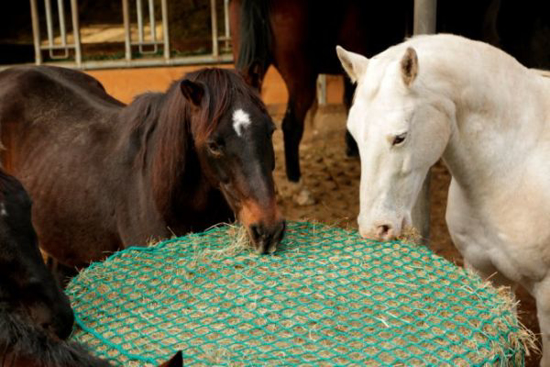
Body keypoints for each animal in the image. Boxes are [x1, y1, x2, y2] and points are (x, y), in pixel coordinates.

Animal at [338, 33, 550, 366]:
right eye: (354, 134)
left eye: (400, 137)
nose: (375, 228)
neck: (516, 164)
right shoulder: (485, 272)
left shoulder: (547, 296)